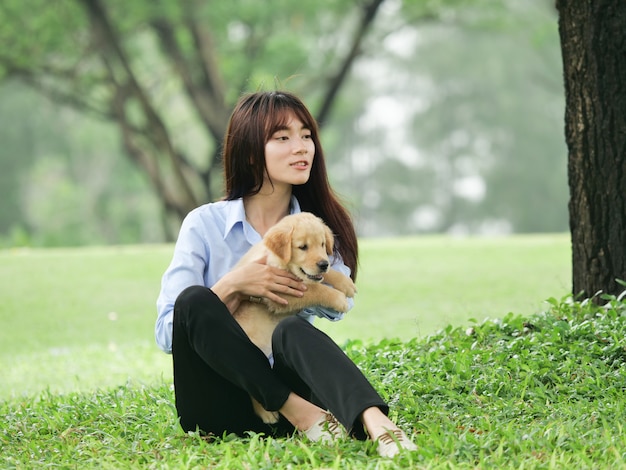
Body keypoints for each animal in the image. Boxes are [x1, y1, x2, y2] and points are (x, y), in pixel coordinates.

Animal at [232, 212, 354, 422]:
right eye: (303, 247)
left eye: (322, 244)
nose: (323, 263)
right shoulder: (279, 292)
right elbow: (314, 289)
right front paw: (339, 299)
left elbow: (321, 277)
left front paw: (345, 283)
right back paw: (266, 413)